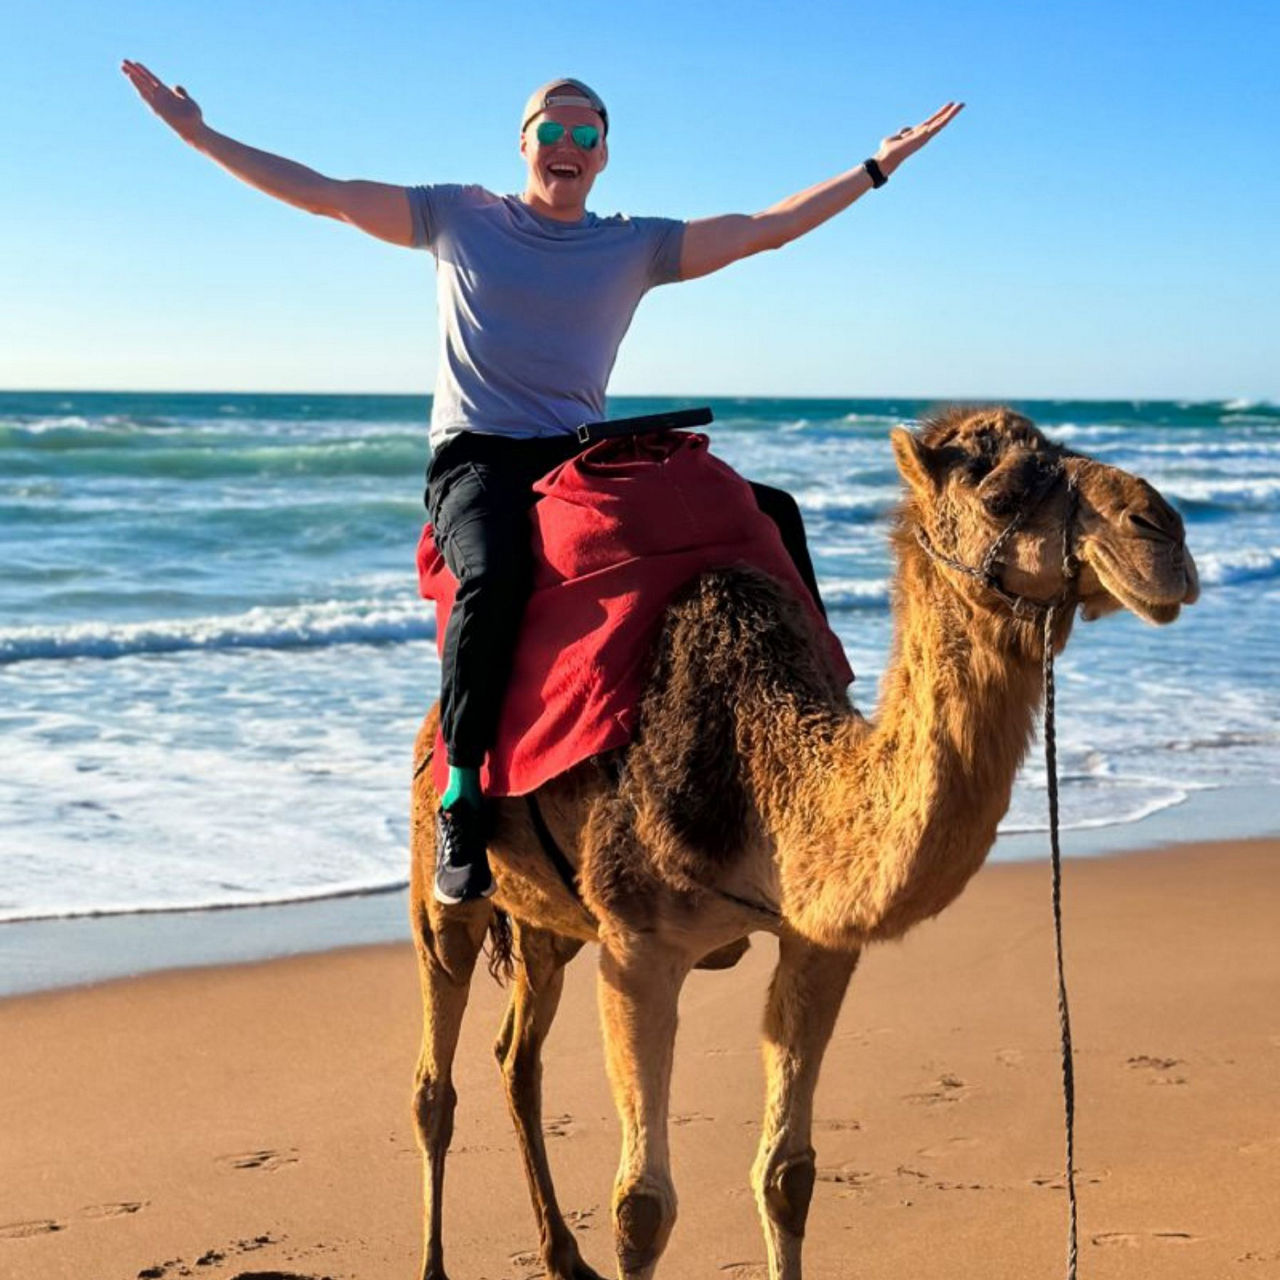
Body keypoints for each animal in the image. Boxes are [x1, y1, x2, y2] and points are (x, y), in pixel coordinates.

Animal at [406, 406, 1199, 1280]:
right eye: (1000, 496)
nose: (1163, 532)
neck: (758, 775)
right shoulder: (637, 945)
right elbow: (641, 1207)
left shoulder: (816, 942)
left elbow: (787, 1176)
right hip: (440, 889)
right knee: (434, 1082)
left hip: (548, 925)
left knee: (518, 1059)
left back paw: (561, 1256)